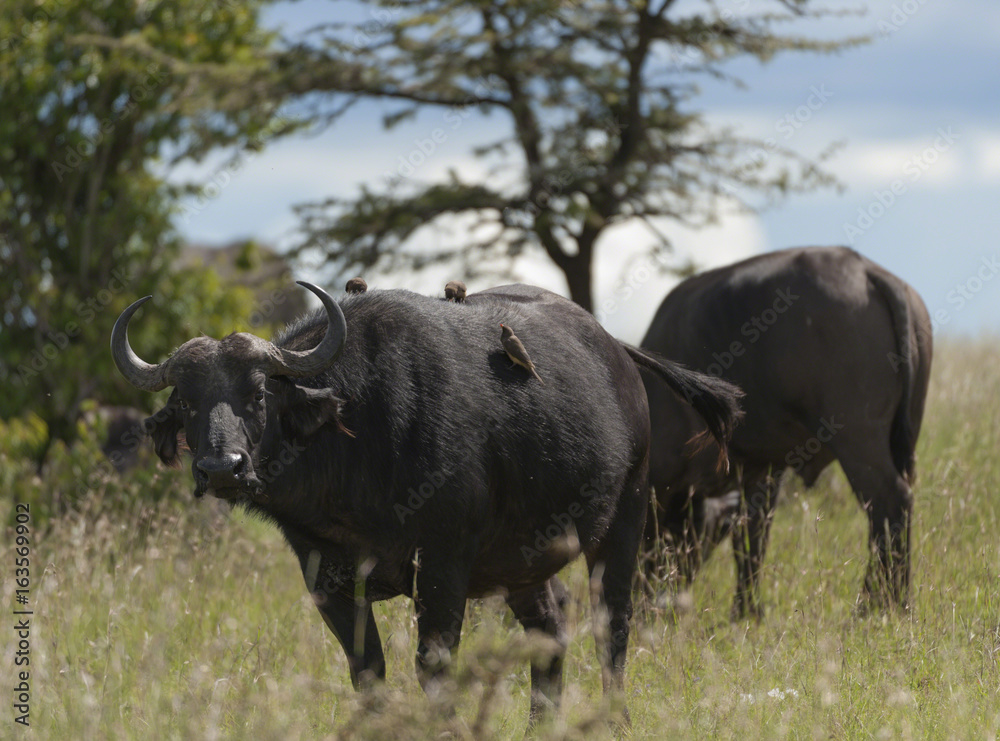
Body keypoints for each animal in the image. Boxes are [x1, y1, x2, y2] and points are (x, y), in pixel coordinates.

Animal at [113, 282, 744, 724]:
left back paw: (615, 719)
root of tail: (618, 354)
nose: (222, 468)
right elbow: (367, 672)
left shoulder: (442, 564)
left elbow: (434, 667)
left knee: (611, 628)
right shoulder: (324, 576)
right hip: (524, 563)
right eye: (187, 401)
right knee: (551, 627)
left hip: (627, 519)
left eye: (258, 392)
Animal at [644, 246, 932, 616]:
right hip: (903, 441)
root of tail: (863, 268)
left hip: (857, 441)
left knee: (889, 501)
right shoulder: (763, 470)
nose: (654, 600)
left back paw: (877, 603)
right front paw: (746, 611)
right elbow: (752, 537)